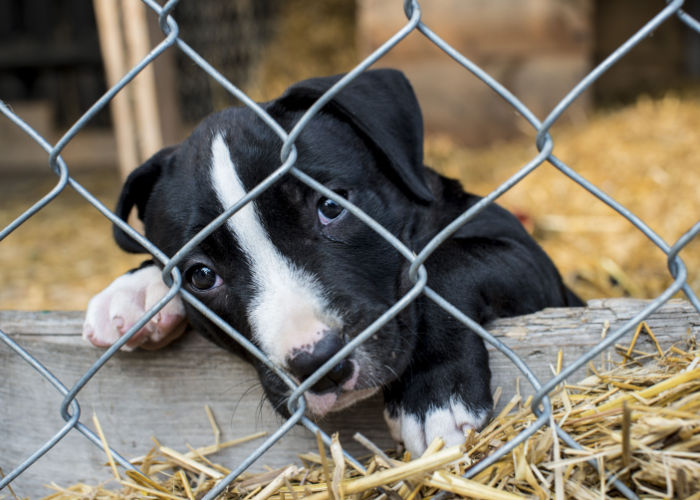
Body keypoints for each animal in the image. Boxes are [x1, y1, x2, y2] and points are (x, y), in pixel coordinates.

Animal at [85, 68, 584, 456]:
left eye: (330, 206)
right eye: (201, 276)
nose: (318, 361)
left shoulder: (530, 261)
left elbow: (446, 266)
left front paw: (434, 395)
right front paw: (136, 290)